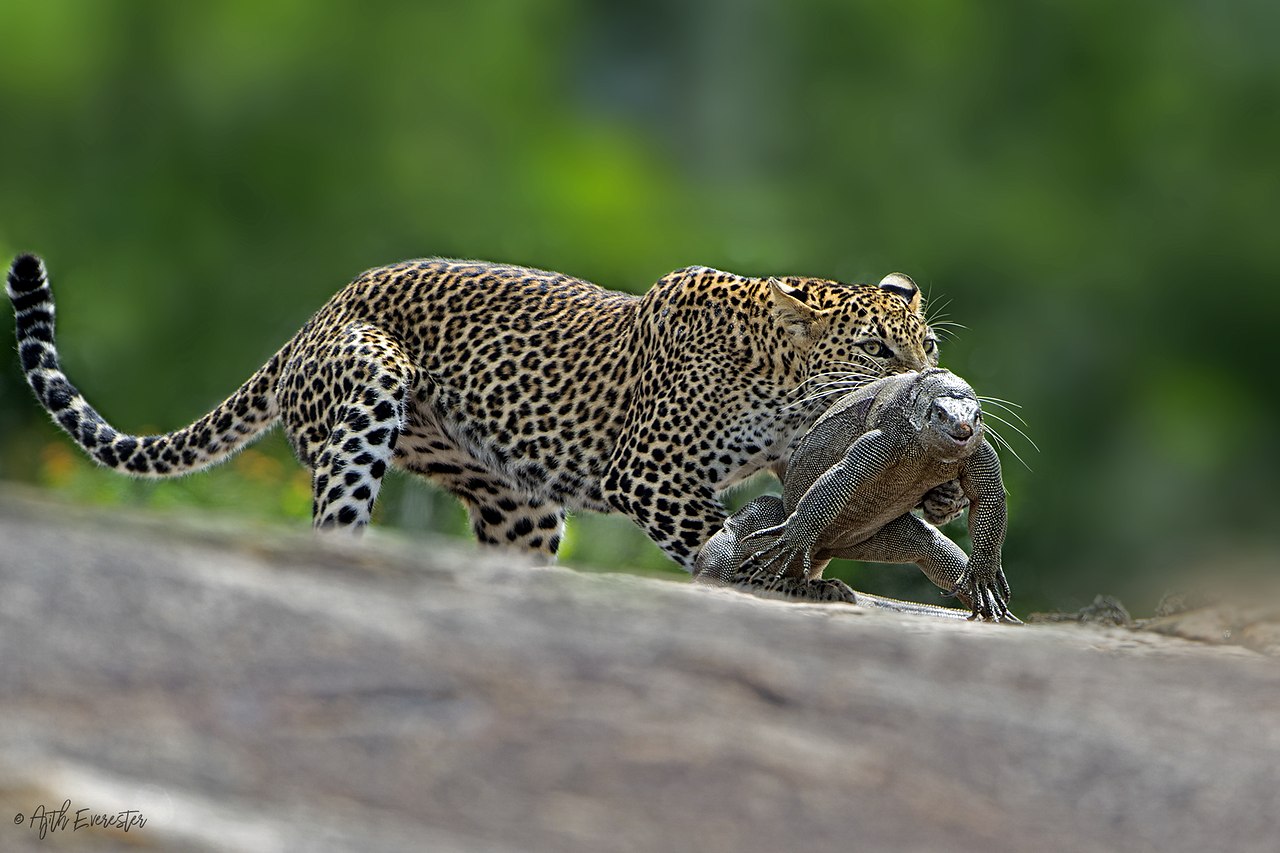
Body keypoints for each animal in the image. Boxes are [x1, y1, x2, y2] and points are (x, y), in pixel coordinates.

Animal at [5, 253, 947, 571]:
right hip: (369, 382)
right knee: (334, 517)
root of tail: (315, 317)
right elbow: (723, 536)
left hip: (518, 505)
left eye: (928, 343)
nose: (935, 381)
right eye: (877, 350)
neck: (774, 376)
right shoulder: (648, 474)